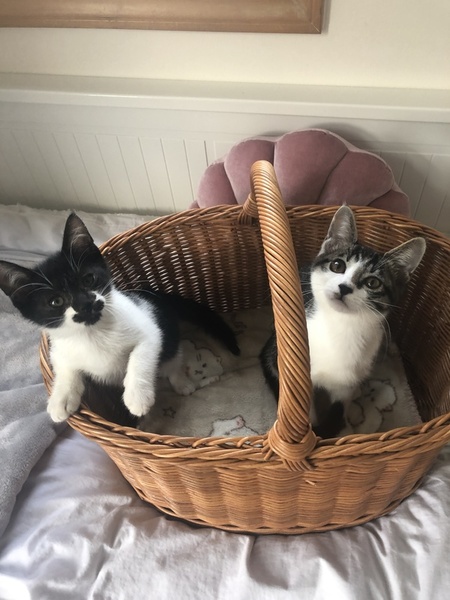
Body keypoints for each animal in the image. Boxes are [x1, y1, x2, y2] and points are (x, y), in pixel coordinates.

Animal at [0, 213, 240, 423]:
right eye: (56, 302)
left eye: (88, 279)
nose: (85, 304)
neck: (93, 332)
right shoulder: (59, 348)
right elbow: (65, 369)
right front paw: (61, 399)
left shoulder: (148, 328)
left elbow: (140, 356)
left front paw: (137, 397)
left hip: (170, 337)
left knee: (172, 361)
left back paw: (182, 384)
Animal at [260, 205, 426, 438]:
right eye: (337, 265)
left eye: (373, 283)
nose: (345, 287)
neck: (341, 326)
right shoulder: (286, 363)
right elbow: (302, 405)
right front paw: (310, 429)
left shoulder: (347, 381)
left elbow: (339, 407)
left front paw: (333, 428)